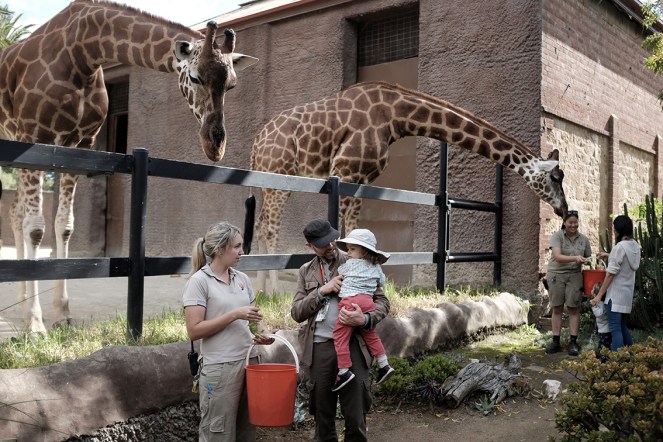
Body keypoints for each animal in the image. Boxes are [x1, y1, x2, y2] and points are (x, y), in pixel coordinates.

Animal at [0, 0, 257, 332]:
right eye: (195, 77)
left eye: (232, 85)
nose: (215, 146)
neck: (83, 51)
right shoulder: (35, 136)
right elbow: (35, 229)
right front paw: (35, 323)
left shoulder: (75, 147)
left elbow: (64, 226)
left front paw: (61, 314)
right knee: (19, 214)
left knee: (15, 211)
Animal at [246, 81, 568, 291]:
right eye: (556, 177)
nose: (564, 210)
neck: (396, 116)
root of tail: (257, 141)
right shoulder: (345, 171)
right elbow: (345, 235)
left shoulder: (361, 179)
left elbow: (355, 233)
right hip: (279, 174)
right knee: (270, 227)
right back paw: (271, 291)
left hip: (275, 178)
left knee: (261, 224)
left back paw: (261, 291)